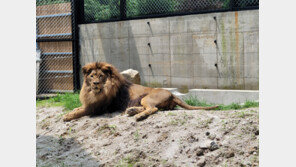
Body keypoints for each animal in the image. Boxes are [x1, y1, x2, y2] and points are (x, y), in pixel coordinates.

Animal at [62, 61, 219, 121]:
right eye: (92, 76)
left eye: (101, 76)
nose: (95, 83)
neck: (94, 92)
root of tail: (173, 94)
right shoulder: (90, 103)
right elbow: (78, 108)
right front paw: (71, 111)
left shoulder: (96, 108)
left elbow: (81, 111)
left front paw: (67, 116)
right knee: (155, 108)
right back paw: (132, 111)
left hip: (146, 98)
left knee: (153, 109)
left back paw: (138, 116)